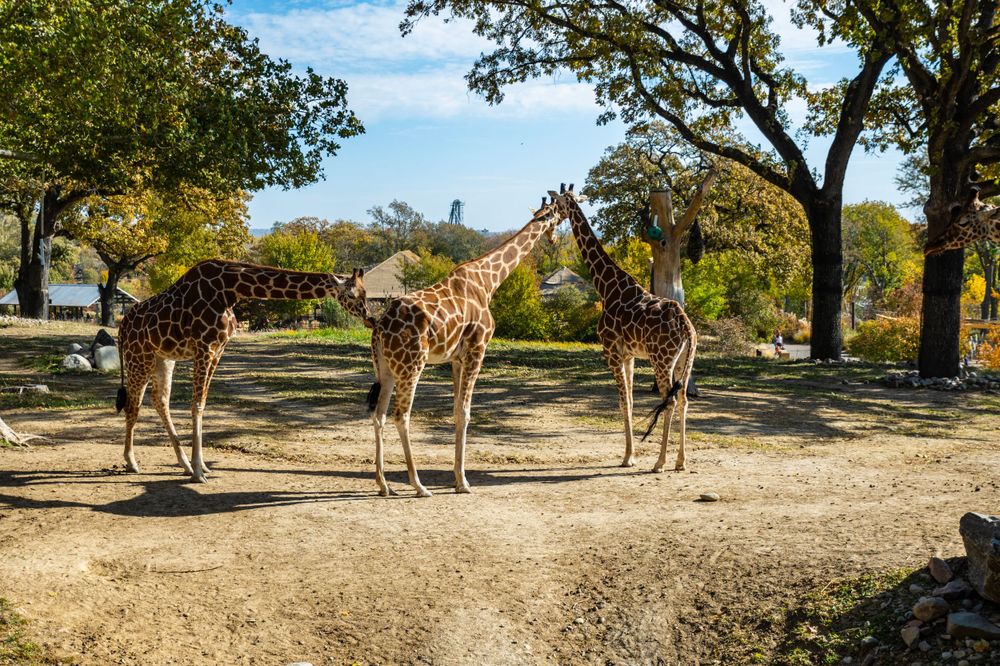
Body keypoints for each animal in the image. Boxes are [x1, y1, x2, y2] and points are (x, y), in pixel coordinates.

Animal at [116, 259, 370, 483]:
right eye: (352, 295)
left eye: (365, 294)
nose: (368, 318)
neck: (231, 290)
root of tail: (122, 325)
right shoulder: (204, 347)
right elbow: (196, 405)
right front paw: (198, 472)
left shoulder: (218, 350)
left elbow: (202, 403)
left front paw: (201, 466)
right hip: (138, 356)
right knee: (133, 404)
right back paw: (132, 462)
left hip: (163, 358)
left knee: (159, 400)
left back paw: (183, 464)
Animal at [367, 199, 562, 497]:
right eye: (557, 217)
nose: (555, 239)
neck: (488, 281)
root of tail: (379, 328)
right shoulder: (477, 349)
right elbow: (466, 413)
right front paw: (464, 482)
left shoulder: (456, 358)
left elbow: (456, 412)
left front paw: (457, 480)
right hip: (412, 365)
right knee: (402, 416)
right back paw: (419, 485)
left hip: (386, 368)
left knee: (379, 416)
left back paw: (383, 484)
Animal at [550, 184, 697, 472]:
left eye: (557, 204)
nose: (550, 230)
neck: (606, 286)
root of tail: (686, 325)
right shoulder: (629, 355)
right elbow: (629, 400)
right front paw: (631, 455)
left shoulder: (611, 352)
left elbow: (622, 402)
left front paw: (629, 457)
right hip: (685, 359)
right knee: (684, 399)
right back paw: (681, 461)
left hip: (662, 359)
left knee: (670, 399)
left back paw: (660, 462)